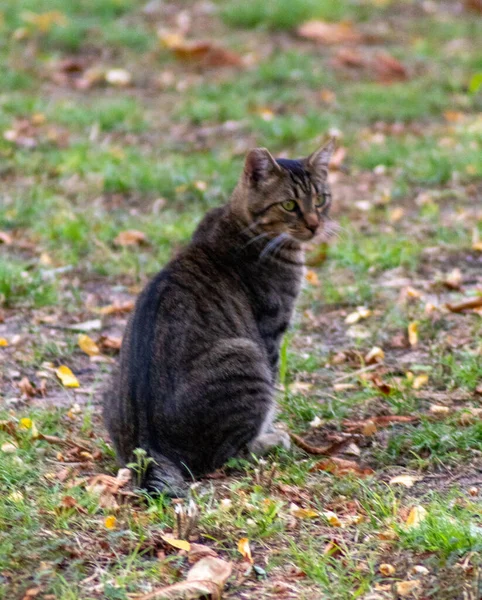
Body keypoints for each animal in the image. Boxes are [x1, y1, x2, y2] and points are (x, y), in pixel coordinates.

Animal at [102, 142, 336, 496]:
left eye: (320, 199)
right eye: (290, 205)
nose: (314, 224)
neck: (239, 220)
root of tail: (149, 450)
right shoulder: (270, 333)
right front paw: (271, 431)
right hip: (244, 354)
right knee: (228, 455)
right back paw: (270, 442)